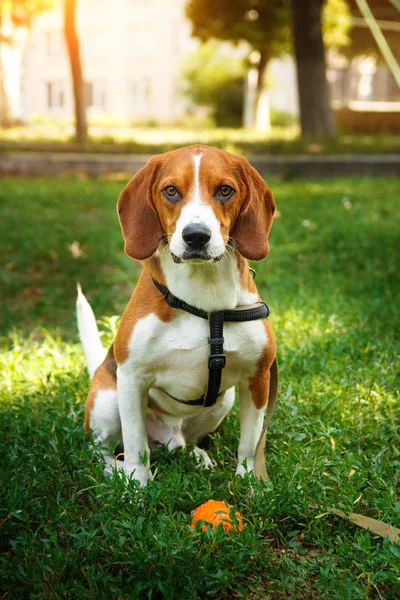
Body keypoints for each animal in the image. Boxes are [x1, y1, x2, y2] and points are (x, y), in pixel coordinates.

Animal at [76, 145, 276, 488]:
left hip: (223, 400)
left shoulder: (258, 378)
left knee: (183, 443)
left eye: (225, 190)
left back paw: (195, 454)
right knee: (101, 449)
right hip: (107, 398)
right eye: (171, 191)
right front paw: (137, 488)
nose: (196, 235)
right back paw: (114, 471)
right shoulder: (132, 378)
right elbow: (135, 446)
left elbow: (250, 444)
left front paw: (252, 484)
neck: (204, 297)